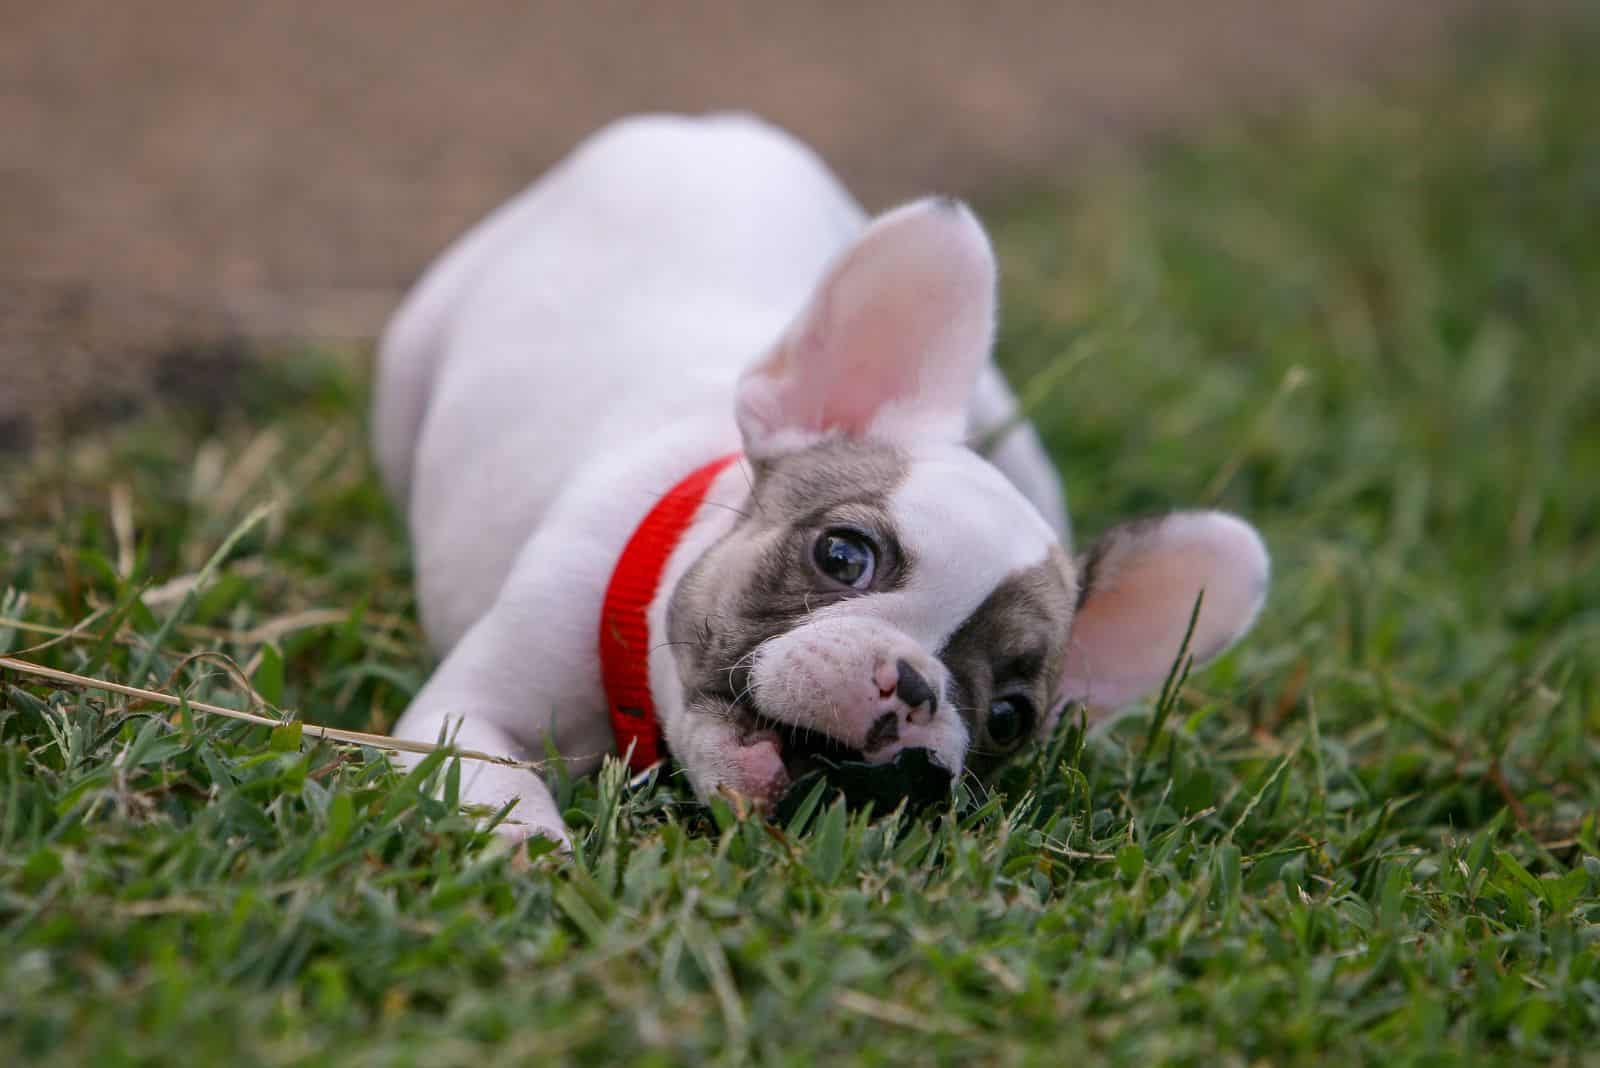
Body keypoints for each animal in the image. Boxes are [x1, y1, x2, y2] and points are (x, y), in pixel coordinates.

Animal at [374, 112, 1273, 844]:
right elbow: (496, 791)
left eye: (1010, 718)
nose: (916, 688)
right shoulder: (466, 717)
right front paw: (532, 854)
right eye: (843, 555)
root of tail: (706, 129)